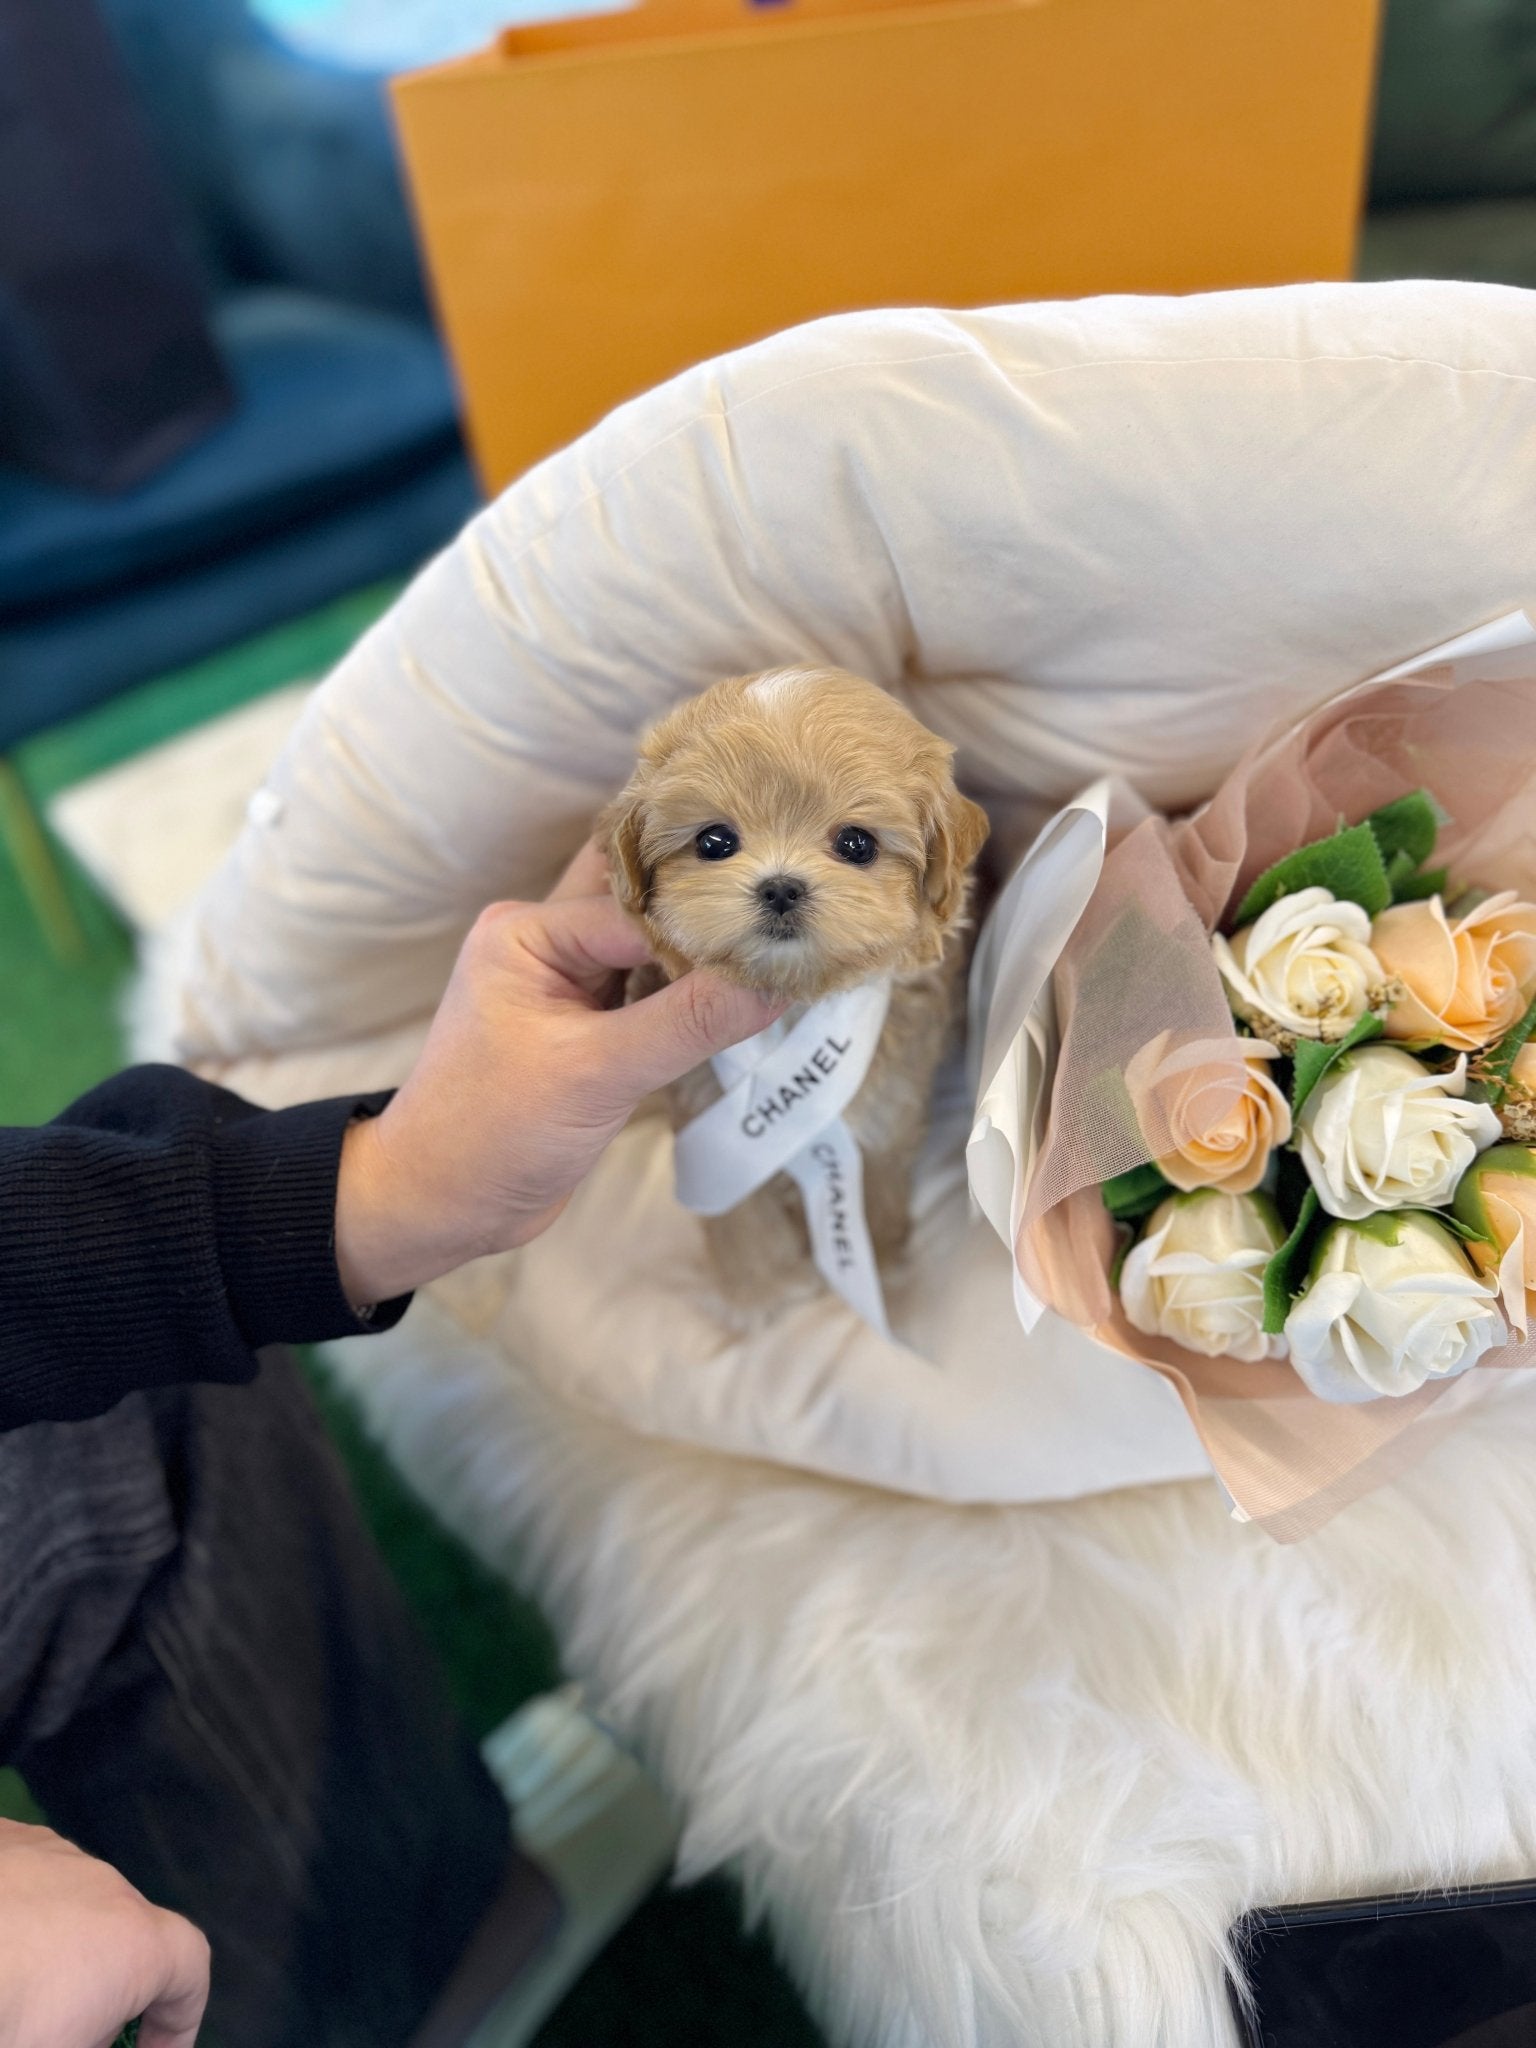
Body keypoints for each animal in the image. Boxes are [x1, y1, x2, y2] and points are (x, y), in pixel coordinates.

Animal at [602, 671, 987, 1310]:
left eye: (857, 844)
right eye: (713, 842)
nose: (781, 887)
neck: (796, 998)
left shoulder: (887, 1115)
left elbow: (879, 1192)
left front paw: (882, 1266)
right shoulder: (710, 1129)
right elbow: (741, 1217)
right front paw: (764, 1292)